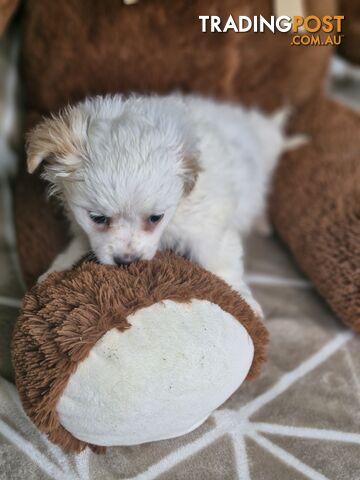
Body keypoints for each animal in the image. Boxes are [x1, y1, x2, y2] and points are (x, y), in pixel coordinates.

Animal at [26, 95, 298, 316]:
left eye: (156, 218)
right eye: (98, 218)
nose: (127, 260)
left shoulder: (209, 228)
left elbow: (222, 263)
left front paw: (245, 300)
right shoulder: (84, 227)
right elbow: (79, 244)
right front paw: (55, 269)